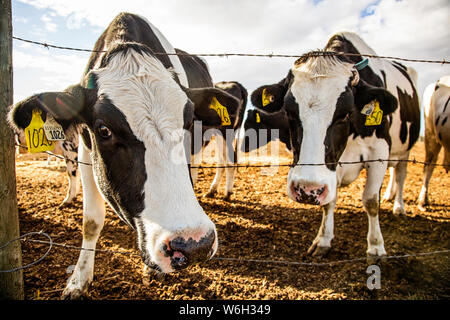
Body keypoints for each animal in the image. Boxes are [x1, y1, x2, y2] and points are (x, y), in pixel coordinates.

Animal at [7, 11, 243, 298]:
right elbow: (91, 221)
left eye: (187, 122)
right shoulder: (85, 150)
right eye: (103, 129)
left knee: (226, 160)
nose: (194, 244)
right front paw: (78, 280)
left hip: (223, 132)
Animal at [251, 31, 420, 258]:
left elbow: (370, 200)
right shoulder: (332, 168)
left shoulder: (379, 151)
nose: (307, 189)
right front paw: (323, 240)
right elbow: (329, 201)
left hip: (405, 149)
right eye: (289, 112)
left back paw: (398, 206)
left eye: (345, 113)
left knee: (400, 174)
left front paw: (376, 245)